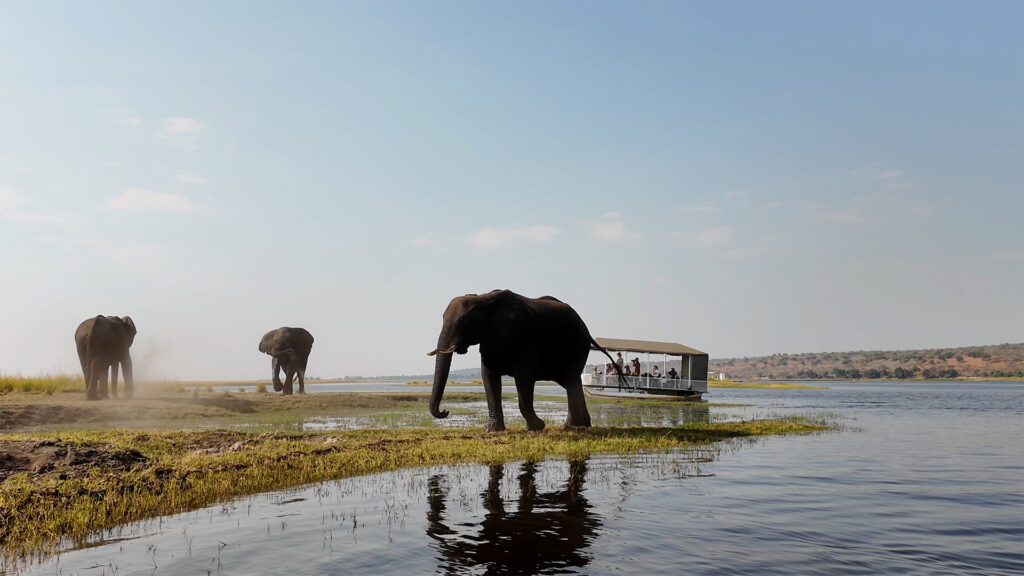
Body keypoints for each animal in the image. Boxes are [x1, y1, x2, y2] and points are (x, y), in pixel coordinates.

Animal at [425, 289, 618, 428]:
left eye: (465, 322)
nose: (445, 411)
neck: (484, 299)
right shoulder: (490, 340)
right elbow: (488, 377)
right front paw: (492, 430)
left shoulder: (524, 339)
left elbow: (523, 379)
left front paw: (537, 427)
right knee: (571, 382)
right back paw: (577, 426)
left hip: (577, 344)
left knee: (570, 380)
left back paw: (574, 427)